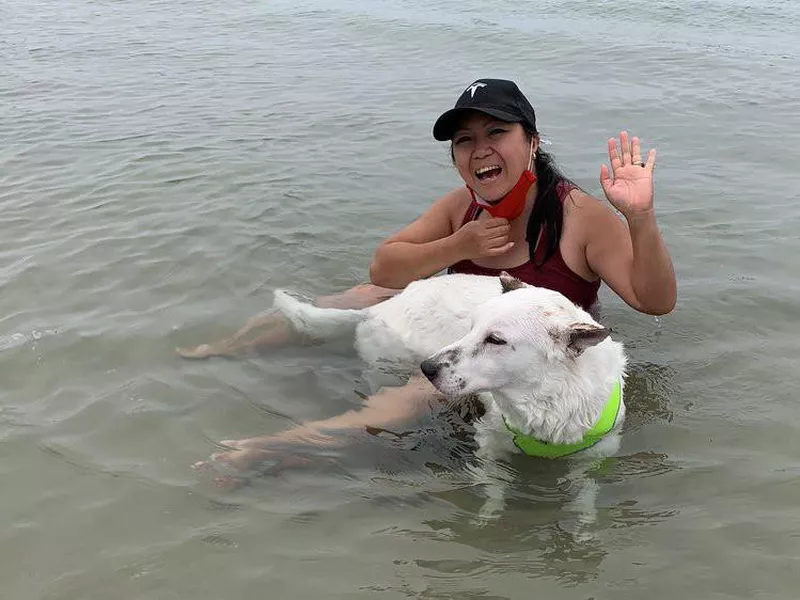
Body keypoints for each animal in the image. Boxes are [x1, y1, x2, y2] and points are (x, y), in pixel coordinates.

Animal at [274, 274, 624, 528]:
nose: (427, 368)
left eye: (495, 340)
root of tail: (379, 309)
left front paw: (583, 524)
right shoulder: (488, 442)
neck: (544, 400)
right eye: (470, 328)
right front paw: (491, 513)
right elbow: (494, 483)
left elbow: (586, 493)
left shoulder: (595, 455)